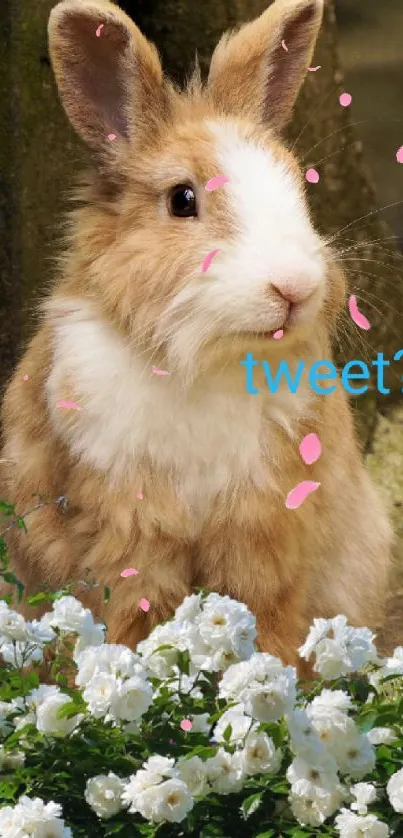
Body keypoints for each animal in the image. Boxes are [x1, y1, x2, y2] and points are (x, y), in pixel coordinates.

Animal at [0, 0, 392, 672]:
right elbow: (134, 616)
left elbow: (264, 617)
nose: (295, 287)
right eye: (183, 199)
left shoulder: (263, 526)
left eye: (299, 186)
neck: (207, 359)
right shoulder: (130, 526)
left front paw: (270, 680)